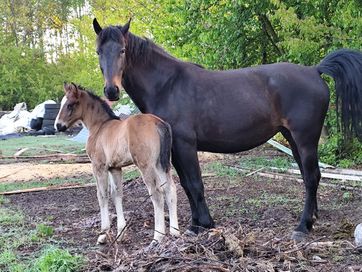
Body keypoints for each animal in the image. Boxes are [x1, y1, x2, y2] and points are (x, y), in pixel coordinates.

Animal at [54, 82, 180, 244]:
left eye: (70, 105)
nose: (58, 126)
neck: (99, 127)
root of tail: (159, 123)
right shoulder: (115, 168)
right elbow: (117, 194)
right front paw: (121, 233)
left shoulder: (98, 166)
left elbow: (102, 195)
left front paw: (103, 233)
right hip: (162, 164)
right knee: (170, 189)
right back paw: (175, 232)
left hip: (146, 166)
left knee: (157, 194)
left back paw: (157, 236)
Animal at [92, 18, 362, 240]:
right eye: (98, 52)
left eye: (123, 50)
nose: (111, 91)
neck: (168, 85)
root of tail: (314, 70)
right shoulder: (175, 149)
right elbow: (186, 185)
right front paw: (196, 224)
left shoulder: (185, 145)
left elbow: (195, 183)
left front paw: (204, 224)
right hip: (293, 139)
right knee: (309, 176)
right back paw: (312, 219)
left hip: (305, 139)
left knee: (312, 177)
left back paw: (303, 226)